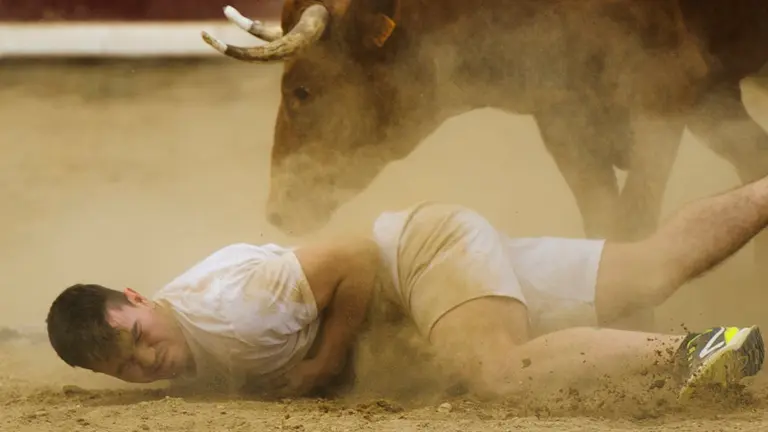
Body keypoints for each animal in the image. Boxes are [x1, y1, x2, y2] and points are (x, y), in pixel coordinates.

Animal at [201, 0, 768, 329]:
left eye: (302, 90)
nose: (278, 211)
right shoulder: (568, 112)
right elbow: (607, 223)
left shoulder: (662, 93)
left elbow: (633, 223)